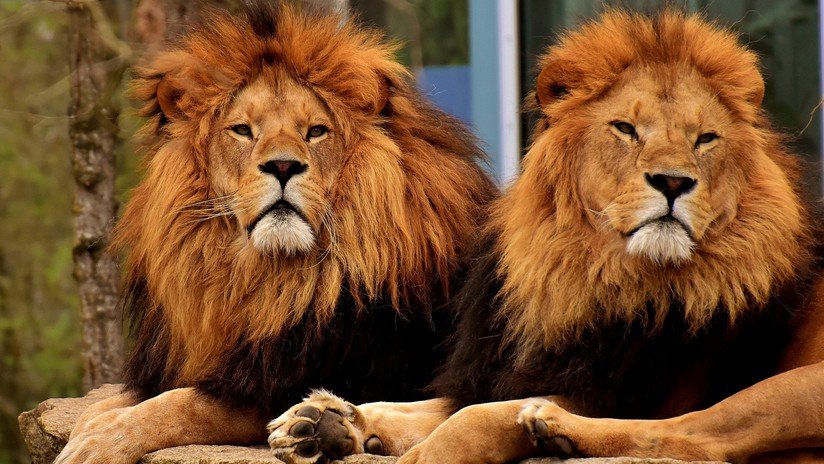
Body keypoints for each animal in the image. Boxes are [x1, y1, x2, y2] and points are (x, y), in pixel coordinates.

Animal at [54, 3, 495, 463]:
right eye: (243, 130)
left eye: (316, 131)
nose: (283, 165)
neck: (267, 280)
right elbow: (106, 405)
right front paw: (86, 429)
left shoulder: (288, 382)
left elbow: (178, 405)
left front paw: (96, 443)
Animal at [267, 10, 824, 464]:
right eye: (625, 129)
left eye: (706, 139)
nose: (672, 182)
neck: (583, 270)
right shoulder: (512, 370)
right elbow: (421, 404)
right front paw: (322, 420)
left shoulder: (630, 389)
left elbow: (473, 418)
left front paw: (420, 450)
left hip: (800, 385)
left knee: (692, 438)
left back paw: (556, 429)